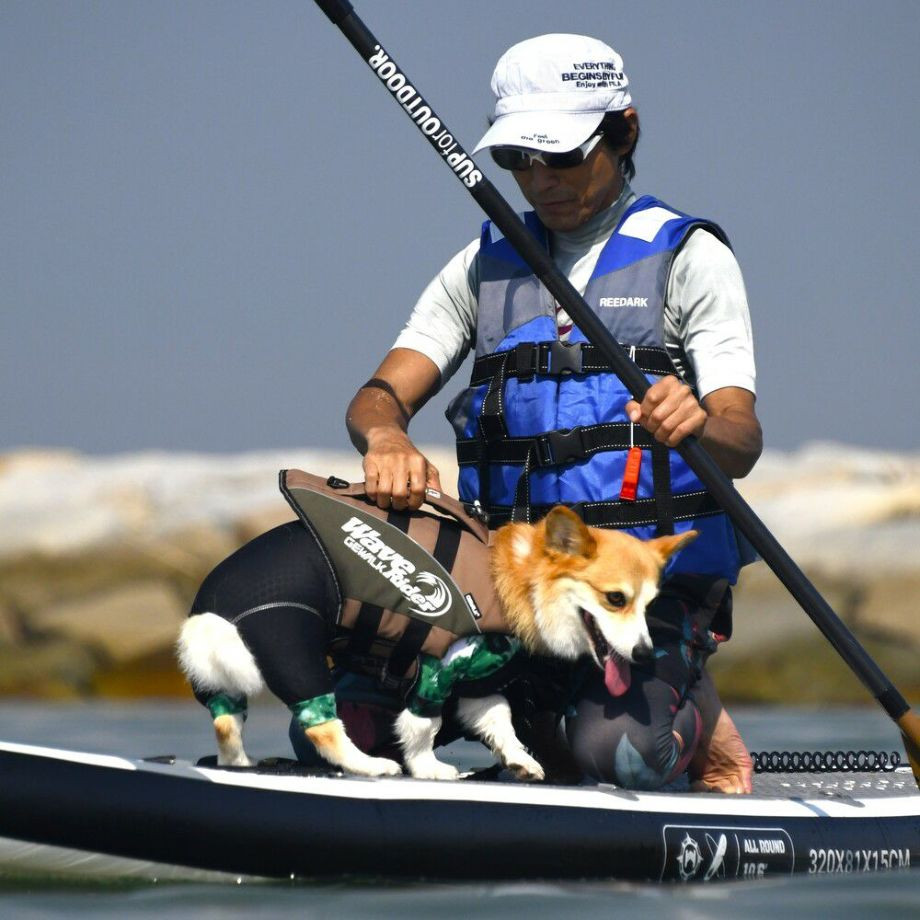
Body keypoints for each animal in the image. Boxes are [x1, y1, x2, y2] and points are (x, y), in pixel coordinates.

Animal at [176, 504, 692, 784]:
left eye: (650, 604)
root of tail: (212, 607)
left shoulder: (479, 679)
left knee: (226, 724)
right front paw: (429, 769)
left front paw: (521, 761)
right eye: (615, 599)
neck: (521, 582)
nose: (645, 655)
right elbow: (423, 728)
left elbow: (500, 722)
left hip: (230, 685)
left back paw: (241, 763)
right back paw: (370, 766)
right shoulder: (437, 670)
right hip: (293, 648)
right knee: (322, 726)